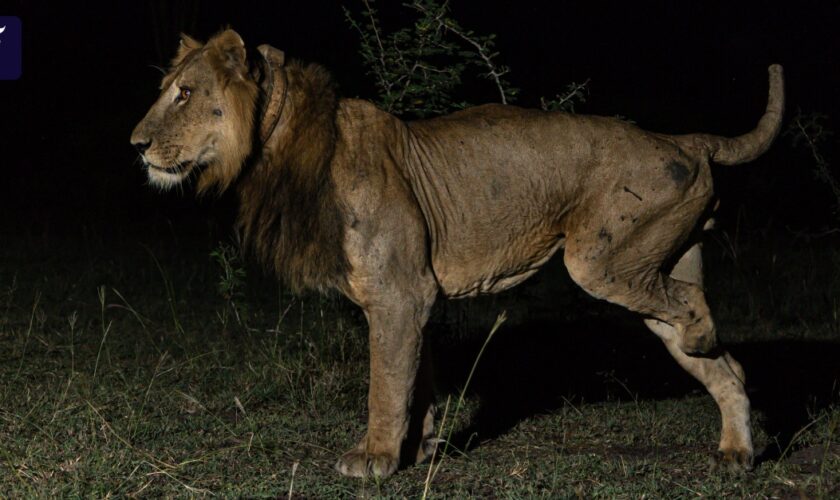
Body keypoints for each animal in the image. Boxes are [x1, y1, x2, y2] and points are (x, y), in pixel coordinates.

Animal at [130, 30, 780, 476]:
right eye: (167, 91)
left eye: (184, 94)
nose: (135, 145)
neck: (279, 146)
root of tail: (682, 139)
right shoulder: (413, 297)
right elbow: (416, 378)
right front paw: (420, 447)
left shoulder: (399, 294)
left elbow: (385, 383)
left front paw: (374, 457)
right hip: (650, 264)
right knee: (726, 365)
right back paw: (735, 451)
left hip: (601, 260)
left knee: (693, 307)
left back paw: (704, 342)